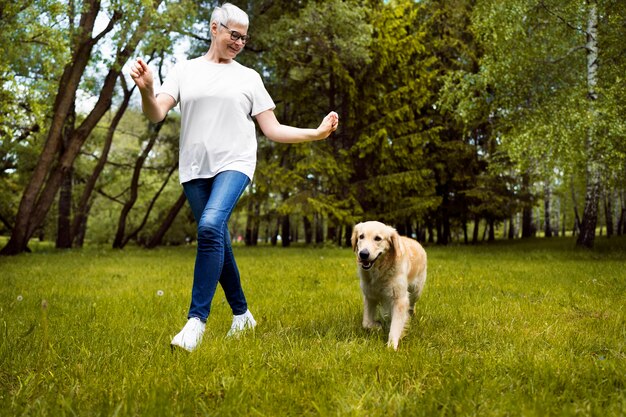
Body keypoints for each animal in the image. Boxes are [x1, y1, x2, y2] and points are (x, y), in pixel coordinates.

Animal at [352, 219, 424, 350]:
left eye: (378, 238)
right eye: (361, 236)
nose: (363, 254)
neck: (380, 271)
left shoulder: (399, 299)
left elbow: (395, 325)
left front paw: (391, 347)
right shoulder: (369, 296)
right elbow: (366, 323)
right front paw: (378, 326)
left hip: (416, 290)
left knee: (412, 305)